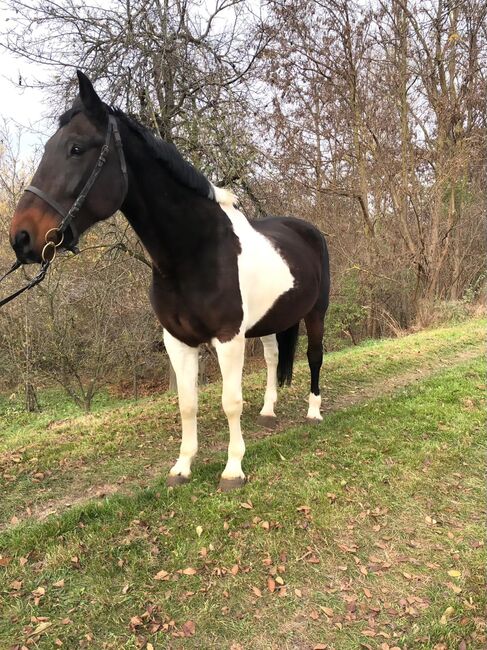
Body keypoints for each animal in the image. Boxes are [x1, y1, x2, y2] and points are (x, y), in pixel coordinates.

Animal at [9, 71, 330, 488]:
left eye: (76, 148)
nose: (21, 238)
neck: (194, 252)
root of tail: (306, 229)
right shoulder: (178, 341)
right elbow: (187, 403)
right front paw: (183, 466)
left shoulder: (228, 338)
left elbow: (230, 401)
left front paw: (233, 469)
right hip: (270, 321)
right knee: (274, 357)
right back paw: (269, 412)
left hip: (316, 312)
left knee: (314, 356)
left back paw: (314, 411)